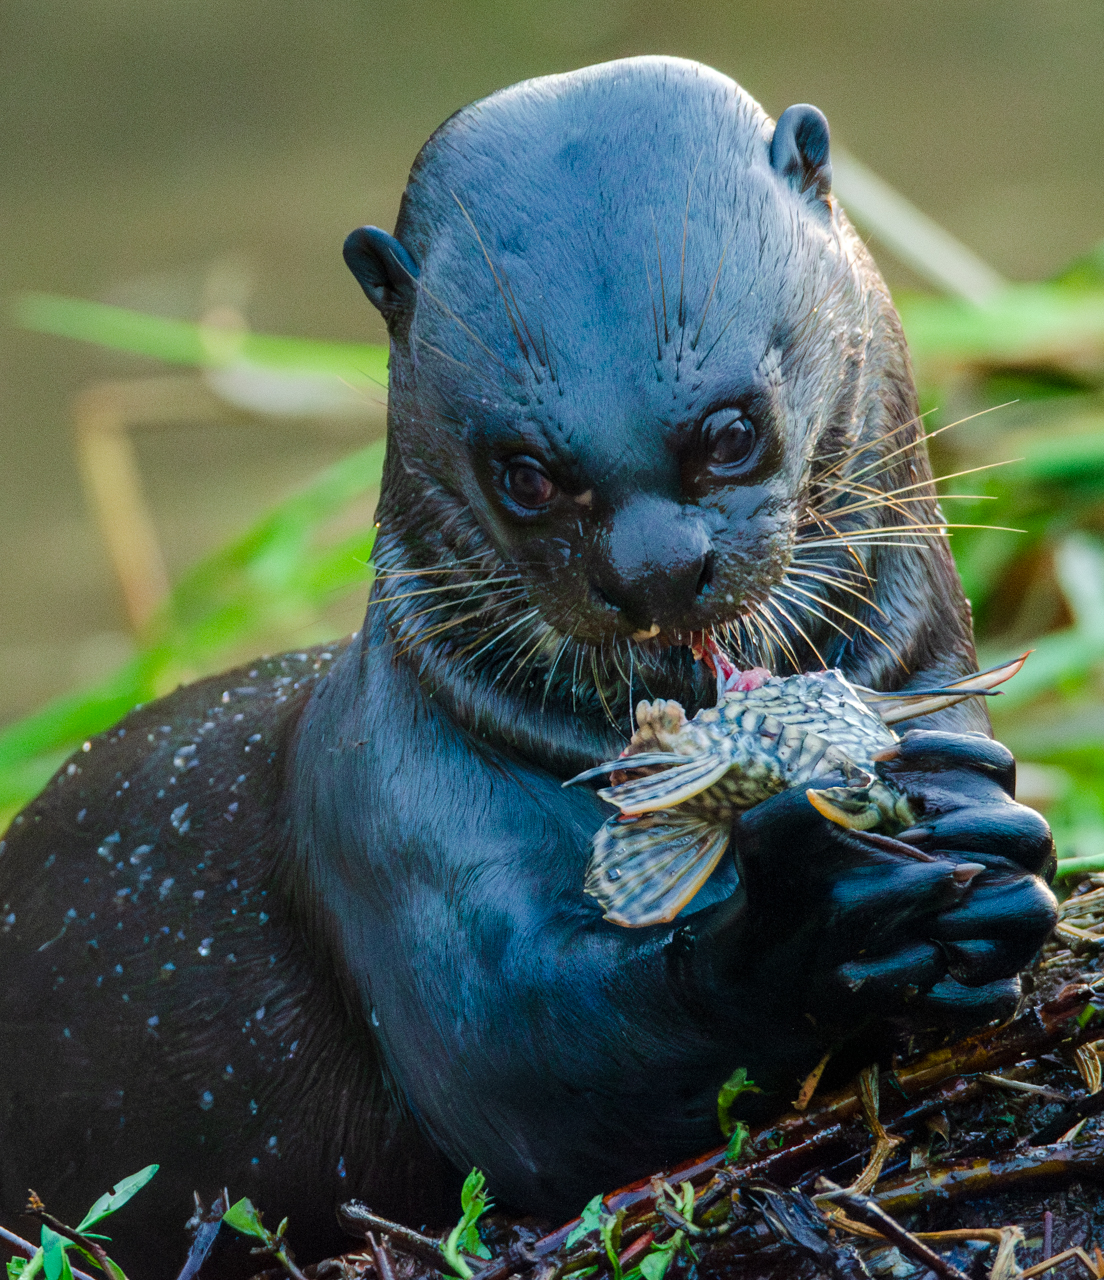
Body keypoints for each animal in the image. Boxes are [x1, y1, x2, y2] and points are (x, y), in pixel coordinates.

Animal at [0, 57, 1056, 1275]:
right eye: (527, 473)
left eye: (731, 429)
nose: (657, 572)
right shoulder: (384, 828)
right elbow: (525, 1078)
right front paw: (809, 914)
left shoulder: (931, 666)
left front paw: (980, 824)